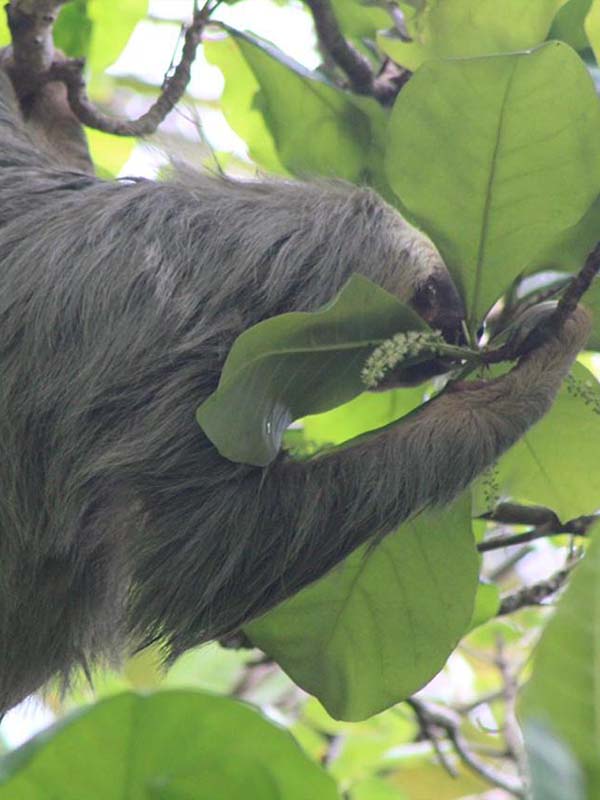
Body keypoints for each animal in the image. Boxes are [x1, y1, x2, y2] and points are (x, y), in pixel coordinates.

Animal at [0, 68, 591, 714]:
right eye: (433, 298)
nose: (470, 334)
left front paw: (46, 95)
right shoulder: (182, 353)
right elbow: (205, 551)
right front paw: (533, 364)